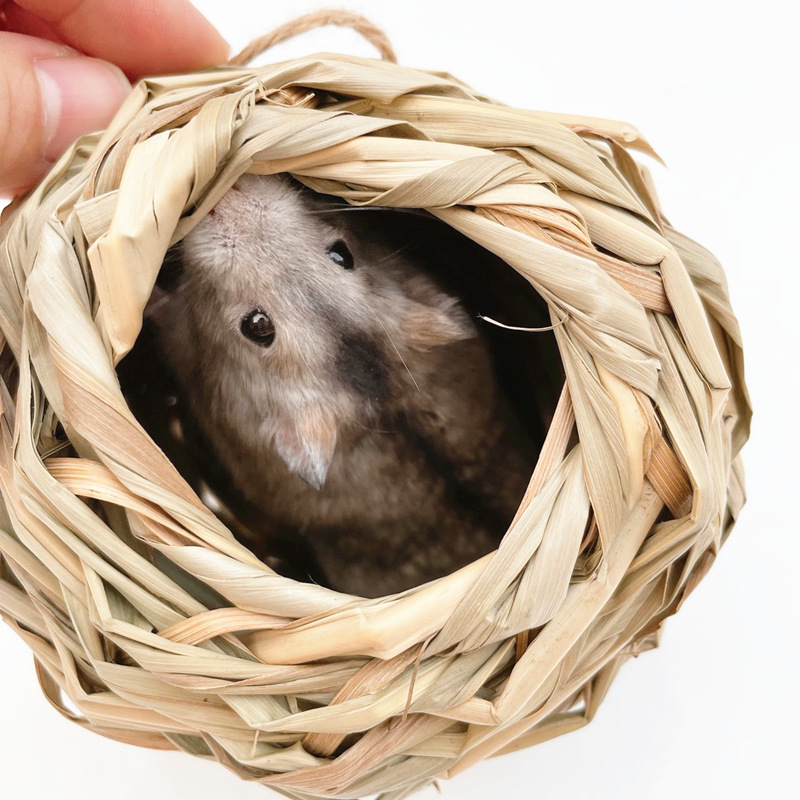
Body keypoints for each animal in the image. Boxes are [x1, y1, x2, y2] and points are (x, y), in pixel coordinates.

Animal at [137, 174, 539, 597]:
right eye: (341, 254)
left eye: (257, 326)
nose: (226, 195)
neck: (383, 396)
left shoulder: (188, 352)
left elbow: (166, 317)